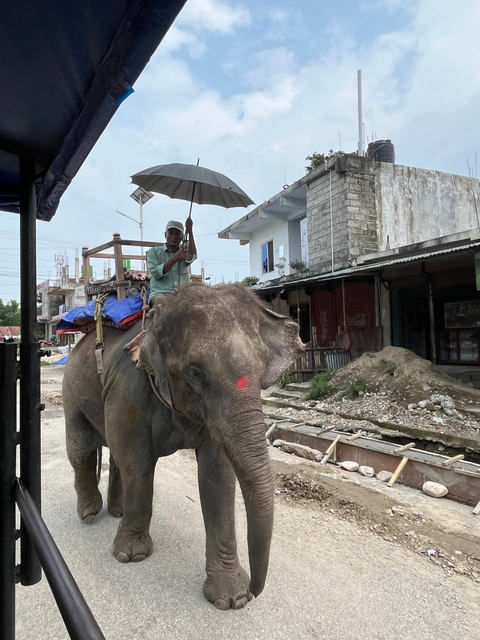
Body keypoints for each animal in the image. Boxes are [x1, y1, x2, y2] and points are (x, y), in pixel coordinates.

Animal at [62, 282, 304, 610]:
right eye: (195, 373)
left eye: (261, 367)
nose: (255, 589)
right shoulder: (128, 390)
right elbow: (137, 463)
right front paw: (130, 556)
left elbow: (217, 476)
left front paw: (232, 599)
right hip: (72, 389)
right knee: (83, 450)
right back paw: (90, 514)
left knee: (113, 456)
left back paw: (116, 512)